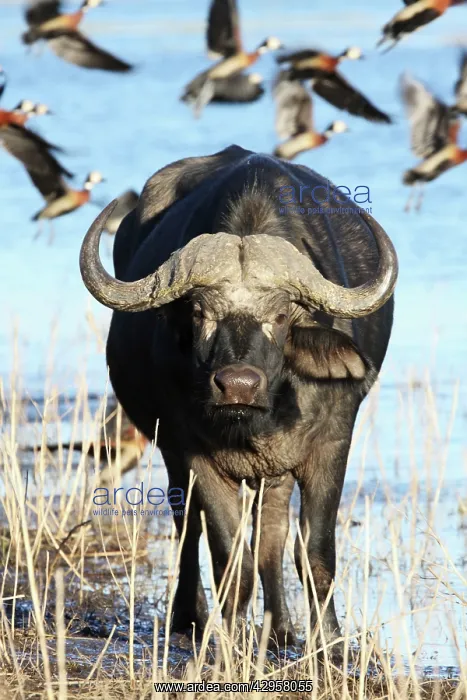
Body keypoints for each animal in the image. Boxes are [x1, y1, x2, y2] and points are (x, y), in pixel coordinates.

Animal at [79, 145, 398, 650]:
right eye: (198, 311)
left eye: (282, 314)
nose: (238, 386)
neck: (256, 422)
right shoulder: (195, 455)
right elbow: (231, 558)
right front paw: (225, 643)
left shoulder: (331, 446)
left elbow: (315, 553)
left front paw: (330, 645)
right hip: (172, 455)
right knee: (187, 529)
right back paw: (189, 618)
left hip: (275, 473)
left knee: (272, 532)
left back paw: (281, 629)